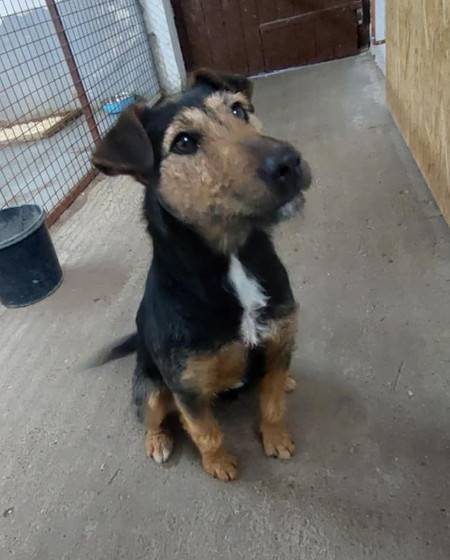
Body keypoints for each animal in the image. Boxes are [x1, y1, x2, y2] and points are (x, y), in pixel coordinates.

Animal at [92, 69, 311, 480]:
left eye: (239, 110)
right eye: (184, 142)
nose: (289, 162)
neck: (232, 262)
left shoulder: (279, 343)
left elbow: (272, 401)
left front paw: (276, 437)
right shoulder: (188, 390)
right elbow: (205, 431)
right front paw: (219, 464)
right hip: (149, 389)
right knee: (151, 416)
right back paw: (157, 441)